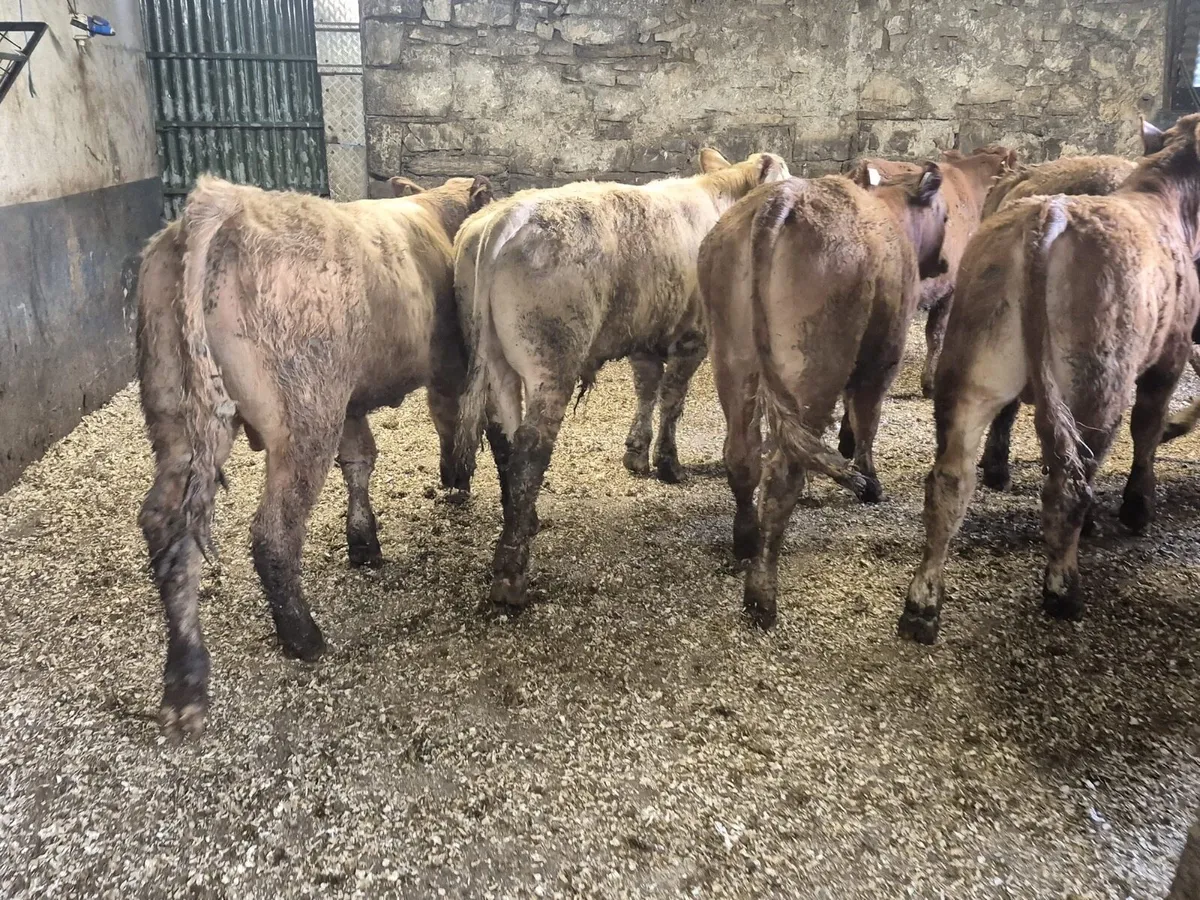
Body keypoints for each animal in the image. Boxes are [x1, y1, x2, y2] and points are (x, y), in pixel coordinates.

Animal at [137, 174, 492, 740]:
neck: (435, 214)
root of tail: (222, 199)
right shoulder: (446, 367)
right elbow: (448, 419)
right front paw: (456, 477)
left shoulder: (350, 399)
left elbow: (361, 459)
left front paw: (363, 542)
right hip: (305, 413)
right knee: (273, 533)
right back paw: (303, 637)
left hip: (177, 414)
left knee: (169, 529)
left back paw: (185, 684)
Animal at [454, 149, 790, 614]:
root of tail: (505, 217)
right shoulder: (694, 337)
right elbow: (672, 399)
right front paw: (668, 463)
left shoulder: (645, 337)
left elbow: (646, 389)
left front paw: (636, 453)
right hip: (551, 361)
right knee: (530, 450)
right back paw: (511, 576)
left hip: (496, 361)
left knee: (503, 436)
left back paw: (522, 519)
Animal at [700, 163, 948, 628]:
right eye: (944, 216)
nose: (943, 263)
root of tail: (781, 199)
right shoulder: (884, 355)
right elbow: (866, 416)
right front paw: (869, 481)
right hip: (814, 367)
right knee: (783, 474)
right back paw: (762, 595)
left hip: (731, 356)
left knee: (742, 456)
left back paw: (745, 541)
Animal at [899, 115, 1200, 645]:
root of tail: (1048, 217)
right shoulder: (1171, 355)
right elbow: (1147, 430)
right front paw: (1138, 507)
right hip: (1096, 383)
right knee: (1072, 480)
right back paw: (1063, 588)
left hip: (972, 374)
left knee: (949, 481)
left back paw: (922, 606)